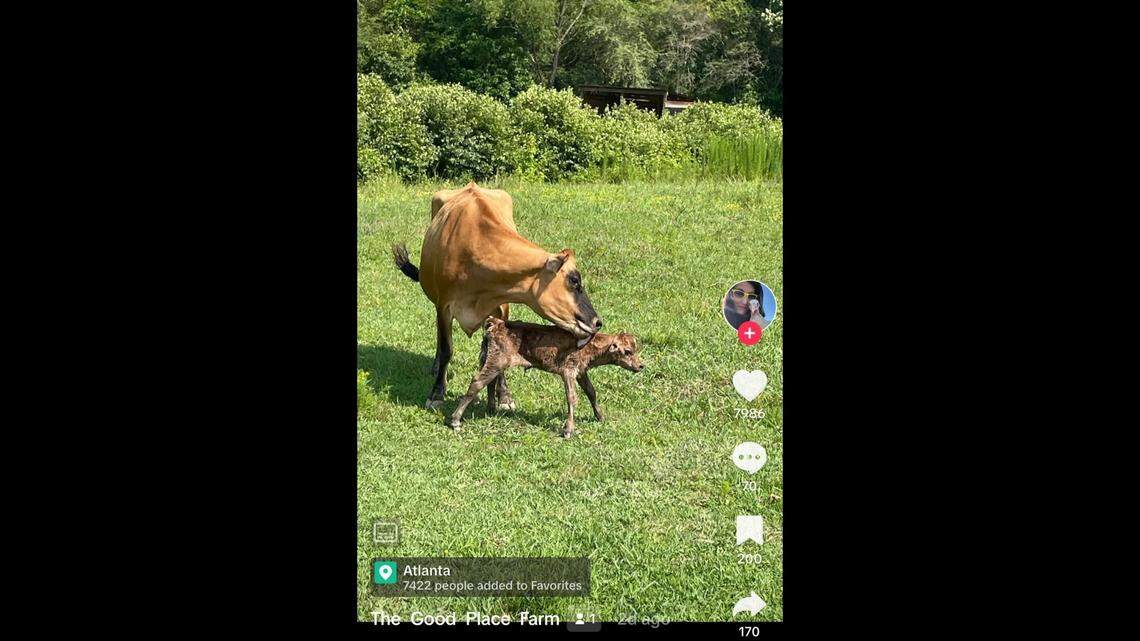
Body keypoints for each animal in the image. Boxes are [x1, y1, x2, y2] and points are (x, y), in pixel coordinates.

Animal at [392, 182, 603, 410]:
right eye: (574, 281)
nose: (597, 322)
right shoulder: (444, 305)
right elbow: (448, 348)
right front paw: (436, 394)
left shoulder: (502, 306)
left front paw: (504, 397)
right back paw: (436, 367)